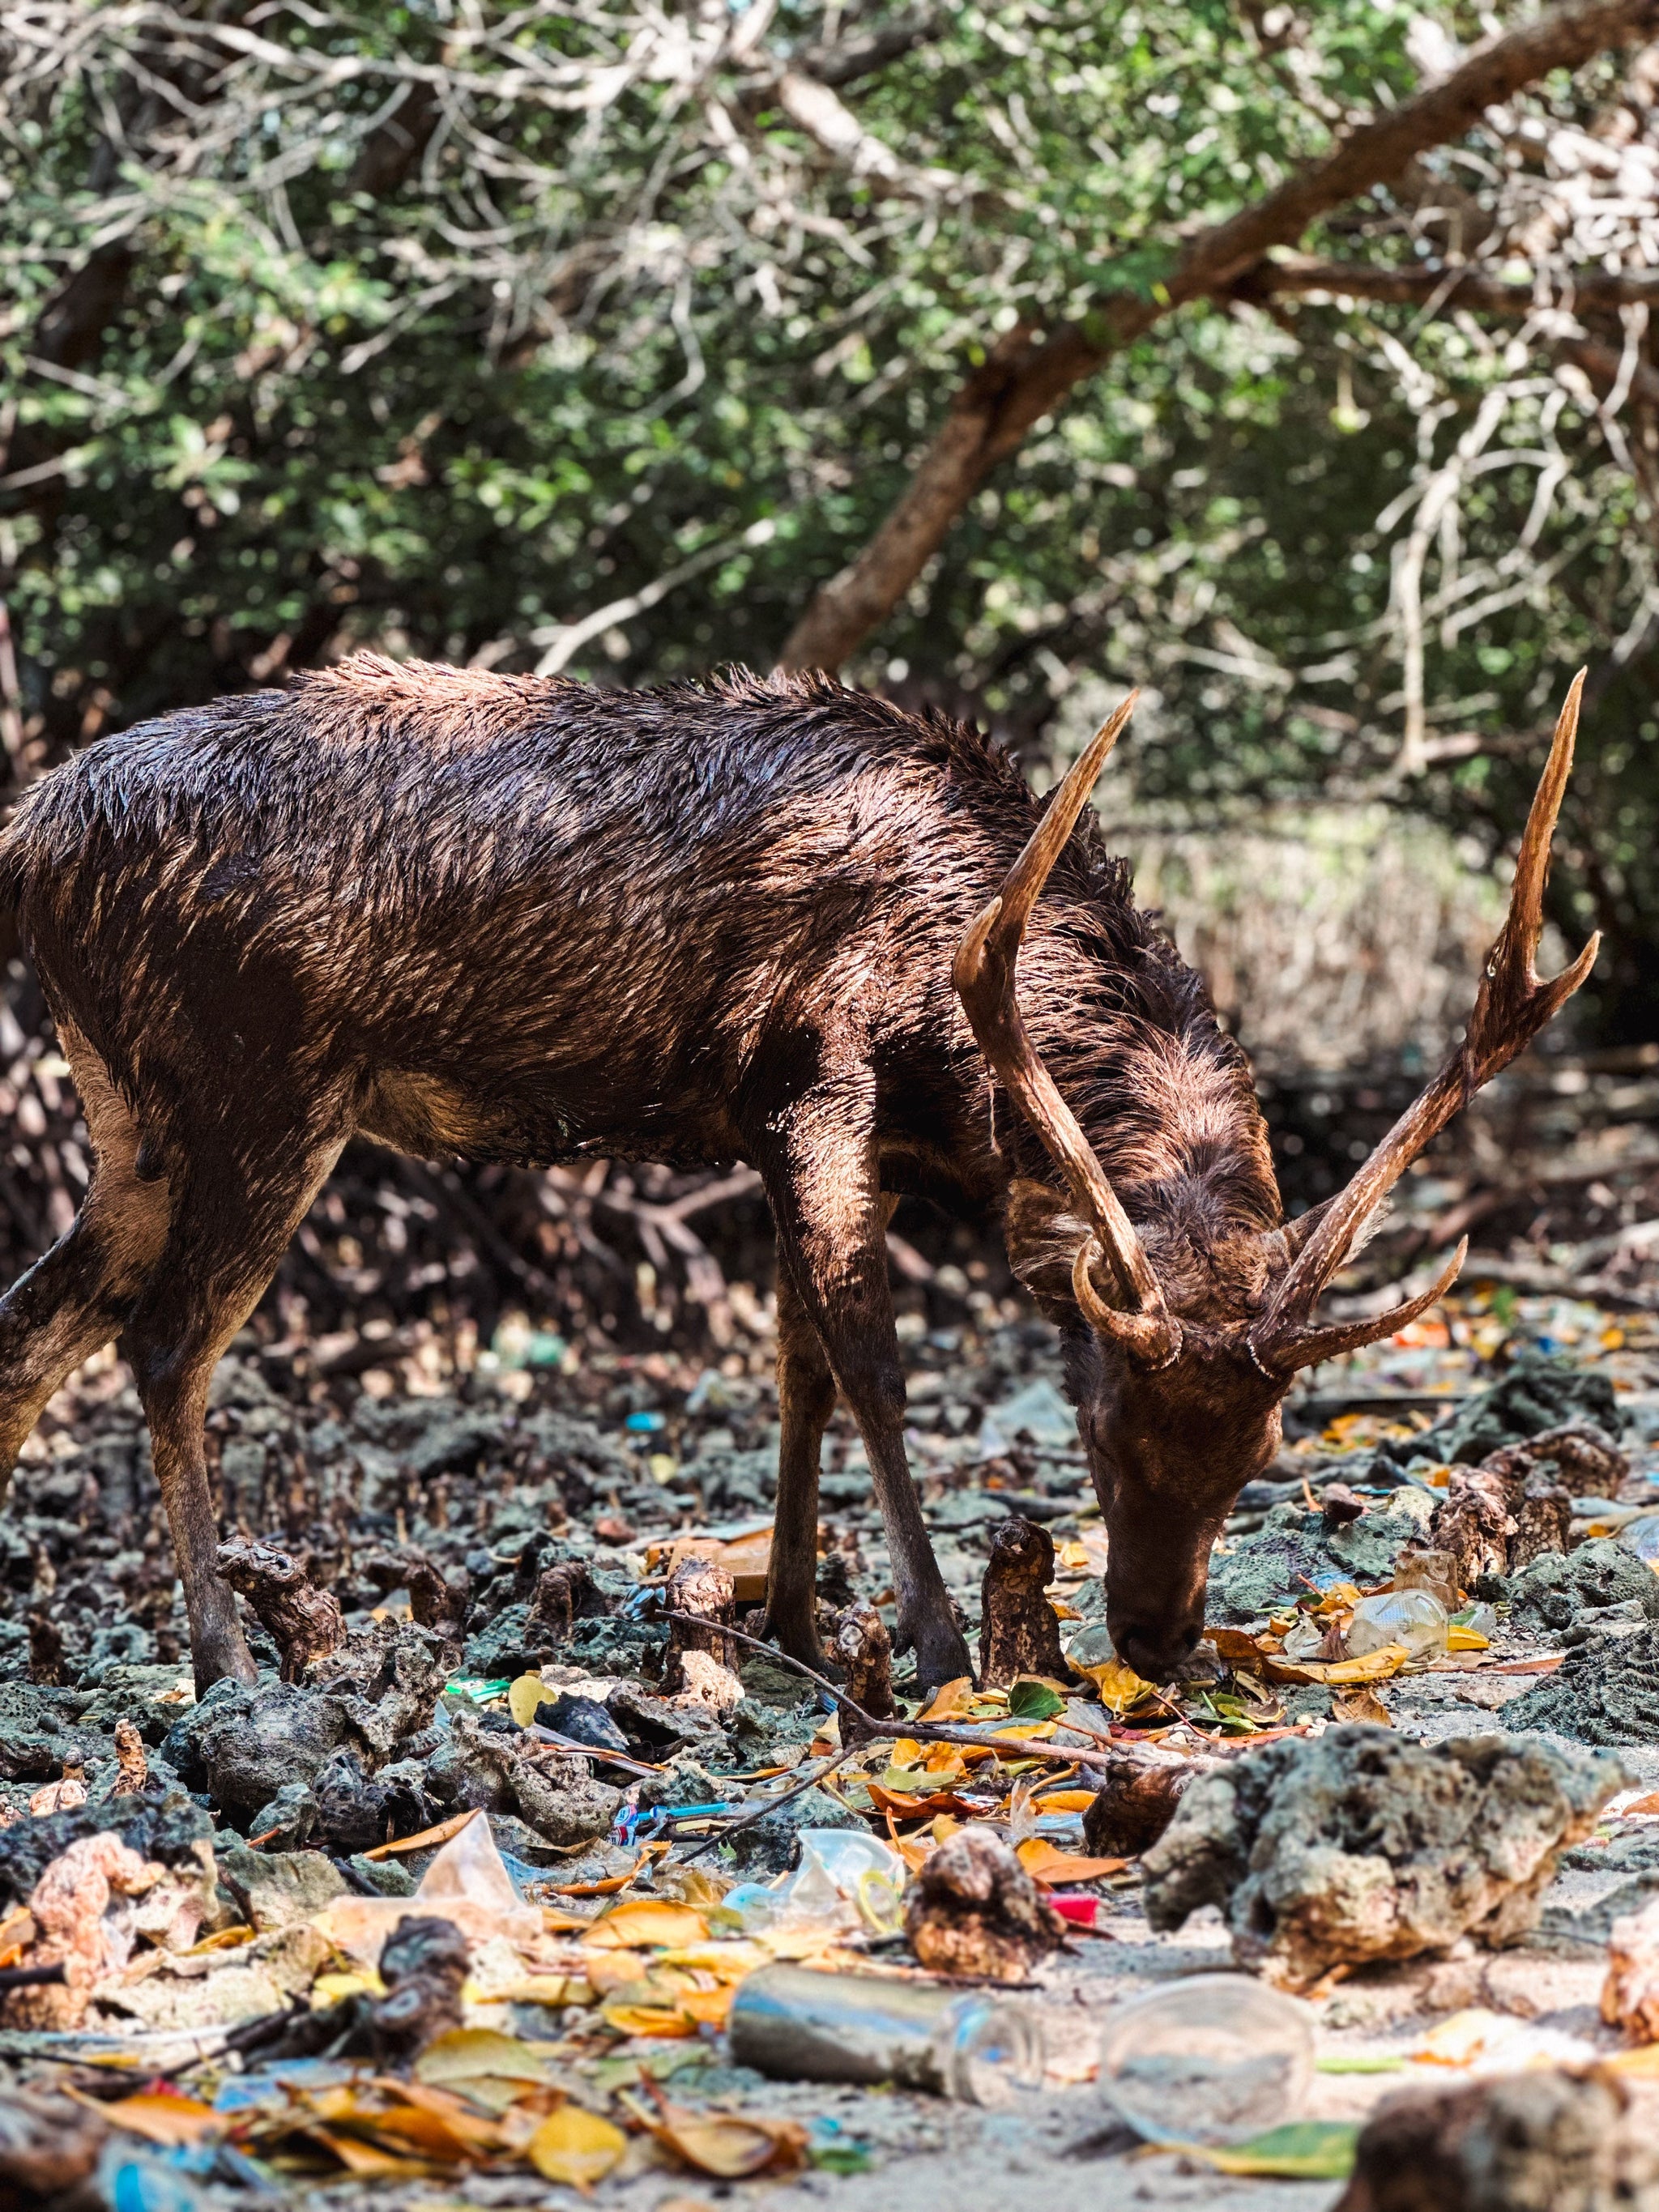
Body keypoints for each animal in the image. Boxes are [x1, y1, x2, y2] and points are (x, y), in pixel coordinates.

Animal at [0, 655, 1595, 1694]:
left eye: (1263, 1451)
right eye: (1096, 1425)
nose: (1154, 1637)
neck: (963, 1047)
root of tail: (29, 835)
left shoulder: (817, 1132)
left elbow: (797, 1370)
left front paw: (791, 1622)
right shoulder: (808, 1080)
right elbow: (871, 1363)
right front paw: (935, 1639)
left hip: (129, 1106)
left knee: (39, 1321)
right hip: (262, 1077)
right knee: (164, 1340)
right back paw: (221, 1659)